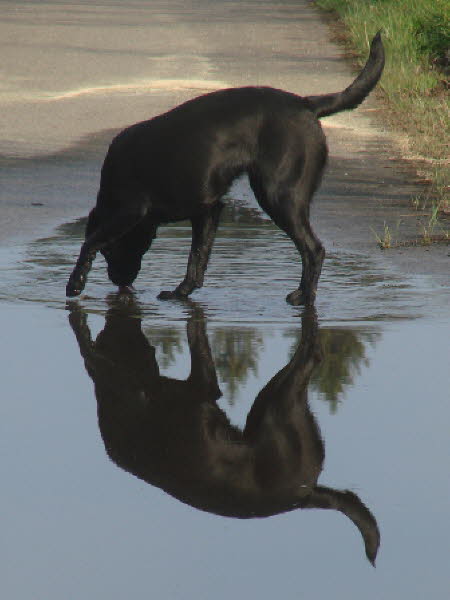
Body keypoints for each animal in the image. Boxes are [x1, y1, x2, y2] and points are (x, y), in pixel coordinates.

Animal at [67, 34, 384, 304]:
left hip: (278, 195)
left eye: (111, 251)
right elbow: (198, 258)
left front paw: (75, 284)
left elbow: (90, 241)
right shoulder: (207, 210)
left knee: (313, 249)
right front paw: (181, 293)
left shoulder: (129, 209)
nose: (121, 282)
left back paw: (303, 296)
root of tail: (306, 104)